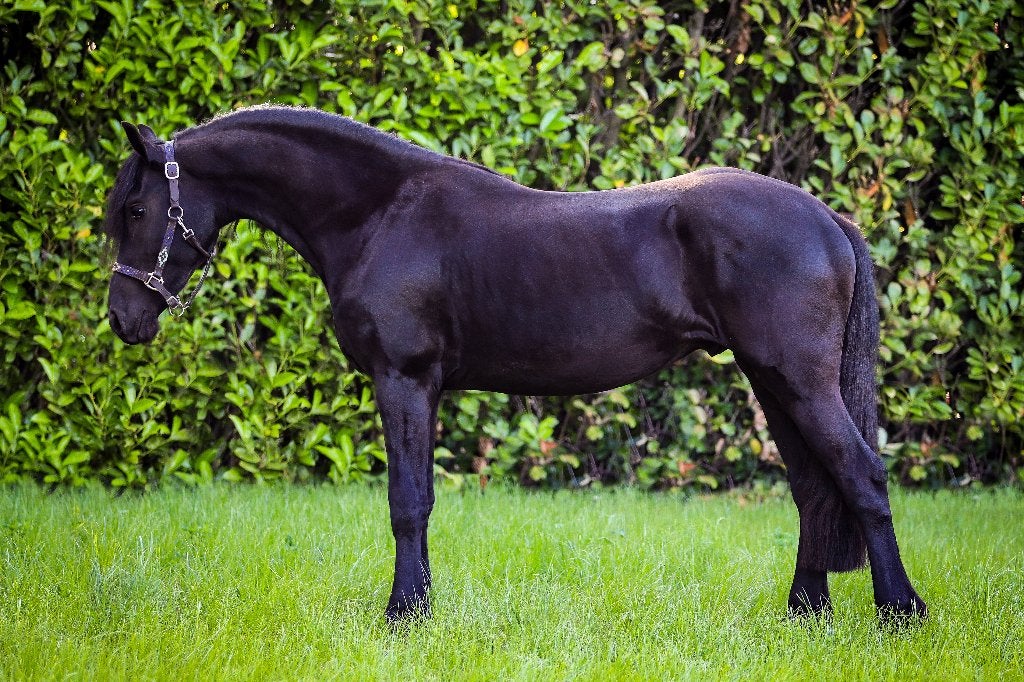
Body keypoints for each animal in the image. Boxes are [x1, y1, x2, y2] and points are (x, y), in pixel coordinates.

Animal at [103, 105, 926, 624]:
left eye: (137, 211)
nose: (123, 320)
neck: (381, 213)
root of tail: (826, 218)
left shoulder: (405, 379)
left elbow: (407, 502)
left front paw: (403, 615)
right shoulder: (422, 386)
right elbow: (419, 500)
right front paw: (418, 608)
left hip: (798, 380)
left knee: (861, 475)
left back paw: (901, 613)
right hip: (772, 383)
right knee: (814, 490)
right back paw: (805, 616)